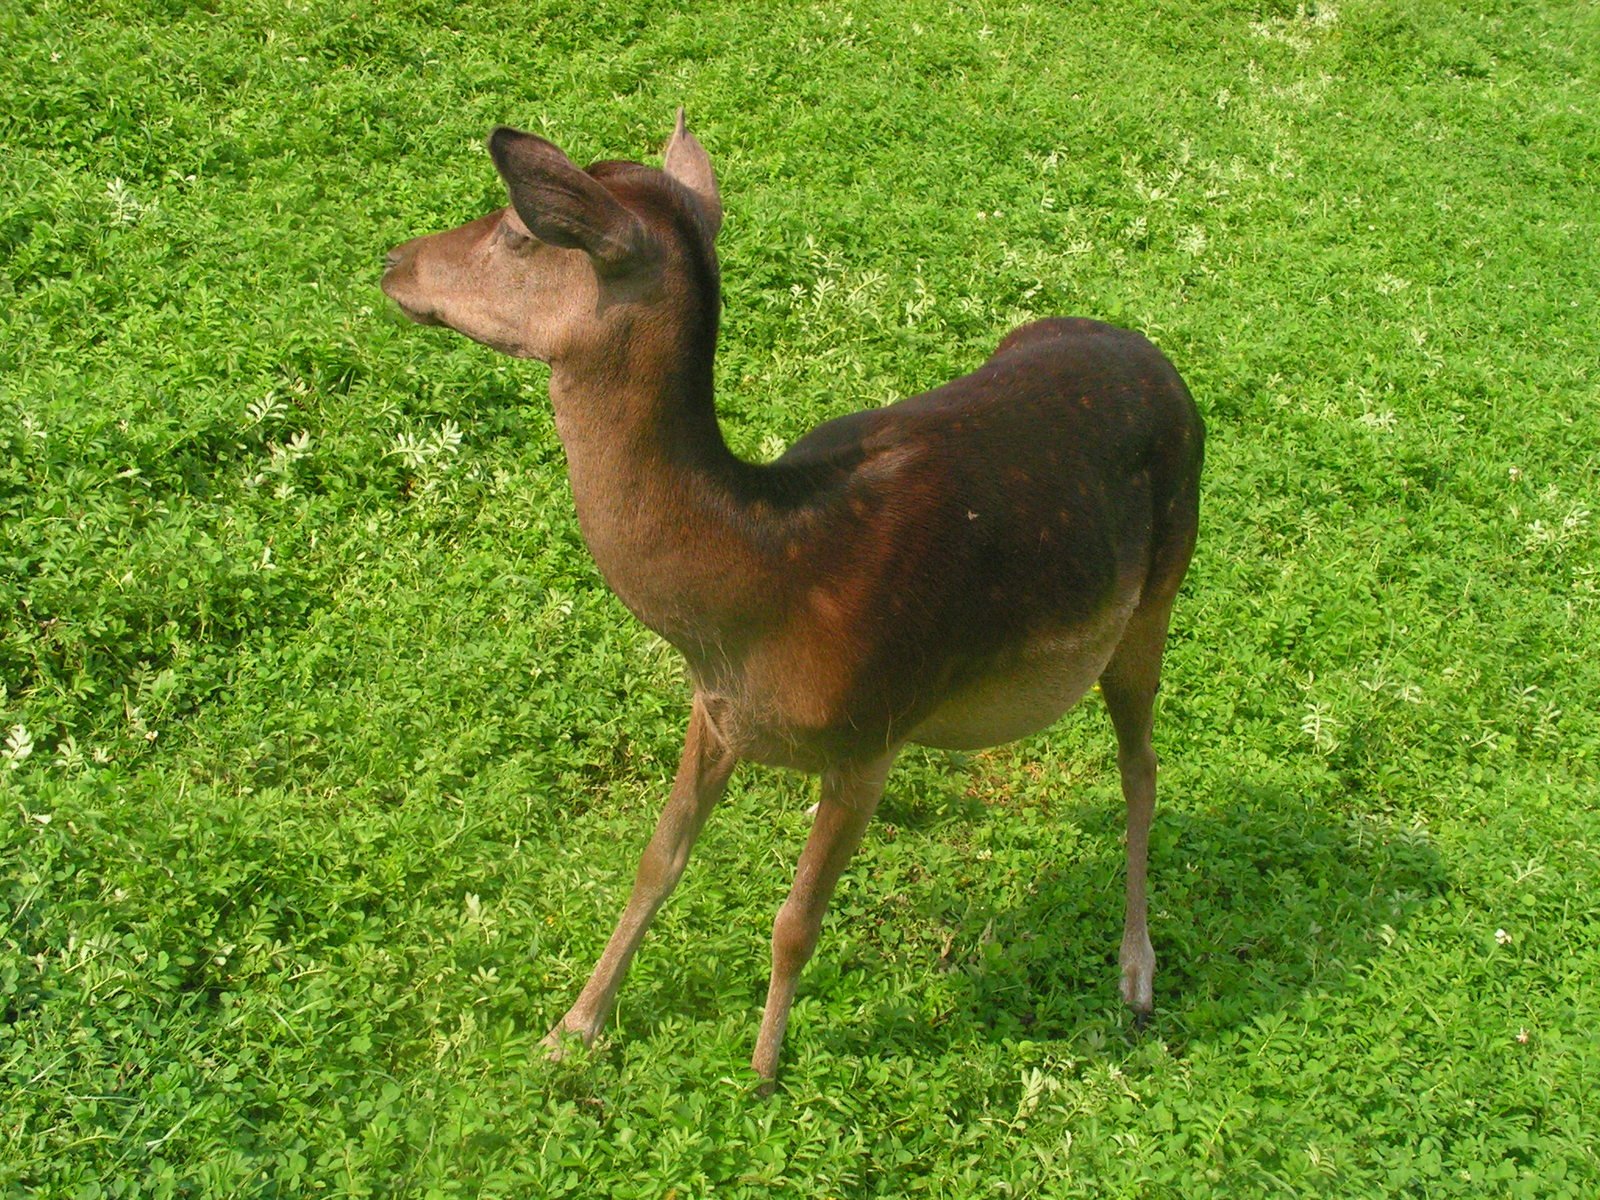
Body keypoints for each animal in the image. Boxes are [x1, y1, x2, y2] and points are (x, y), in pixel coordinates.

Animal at [384, 115, 1203, 1088]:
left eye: (519, 228)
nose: (394, 259)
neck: (758, 589)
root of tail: (1161, 360)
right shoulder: (715, 709)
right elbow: (657, 860)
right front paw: (572, 1027)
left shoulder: (874, 731)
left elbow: (794, 921)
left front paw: (764, 1071)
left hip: (1158, 592)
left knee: (1142, 766)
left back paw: (1137, 974)